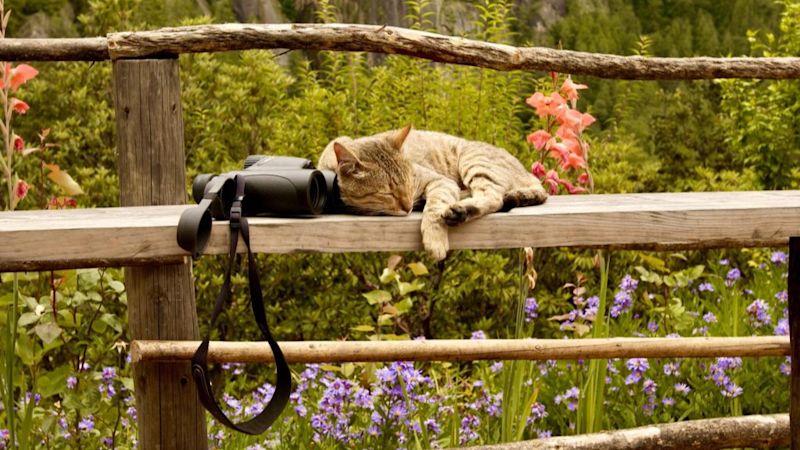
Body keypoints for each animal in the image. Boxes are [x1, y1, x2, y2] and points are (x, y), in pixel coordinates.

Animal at [316, 125, 548, 260]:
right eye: (388, 193)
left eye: (409, 183)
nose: (408, 206)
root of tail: (527, 173)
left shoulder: (439, 181)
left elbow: (434, 209)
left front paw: (434, 239)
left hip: (473, 159)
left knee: (494, 196)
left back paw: (461, 208)